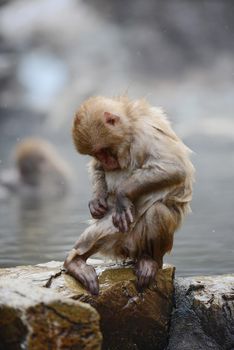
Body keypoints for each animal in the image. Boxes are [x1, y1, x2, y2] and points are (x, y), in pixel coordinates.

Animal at [64, 95, 194, 296]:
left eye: (103, 150)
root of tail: (130, 252)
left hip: (138, 240)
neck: (130, 128)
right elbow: (97, 169)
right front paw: (96, 201)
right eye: (95, 154)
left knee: (158, 211)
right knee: (101, 230)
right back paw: (76, 261)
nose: (106, 161)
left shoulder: (145, 134)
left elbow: (173, 168)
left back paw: (150, 261)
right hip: (118, 241)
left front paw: (122, 195)